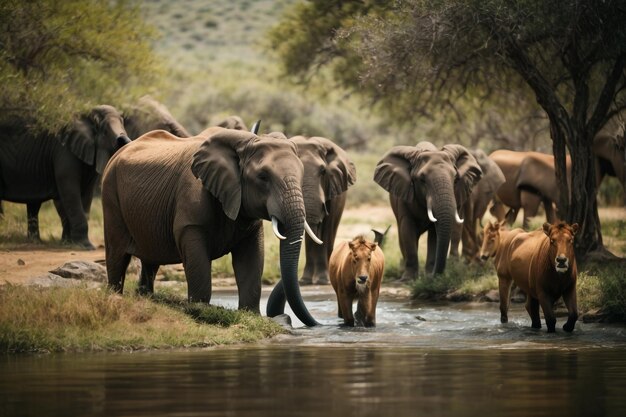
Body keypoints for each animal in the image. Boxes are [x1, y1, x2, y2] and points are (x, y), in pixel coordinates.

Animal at [0, 105, 130, 247]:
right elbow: (70, 191)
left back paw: (35, 241)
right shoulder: (64, 152)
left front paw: (69, 243)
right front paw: (85, 246)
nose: (123, 139)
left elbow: (86, 195)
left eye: (123, 123)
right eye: (105, 132)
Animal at [101, 126, 322, 324]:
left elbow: (250, 259)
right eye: (263, 177)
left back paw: (145, 299)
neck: (244, 142)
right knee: (117, 256)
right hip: (110, 195)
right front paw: (200, 312)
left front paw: (250, 315)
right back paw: (114, 298)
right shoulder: (191, 201)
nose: (317, 323)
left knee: (150, 261)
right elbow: (197, 259)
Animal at [372, 141, 480, 282]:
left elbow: (434, 236)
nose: (436, 275)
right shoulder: (404, 197)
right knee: (402, 234)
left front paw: (429, 276)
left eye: (456, 179)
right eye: (422, 180)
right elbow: (407, 230)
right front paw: (409, 279)